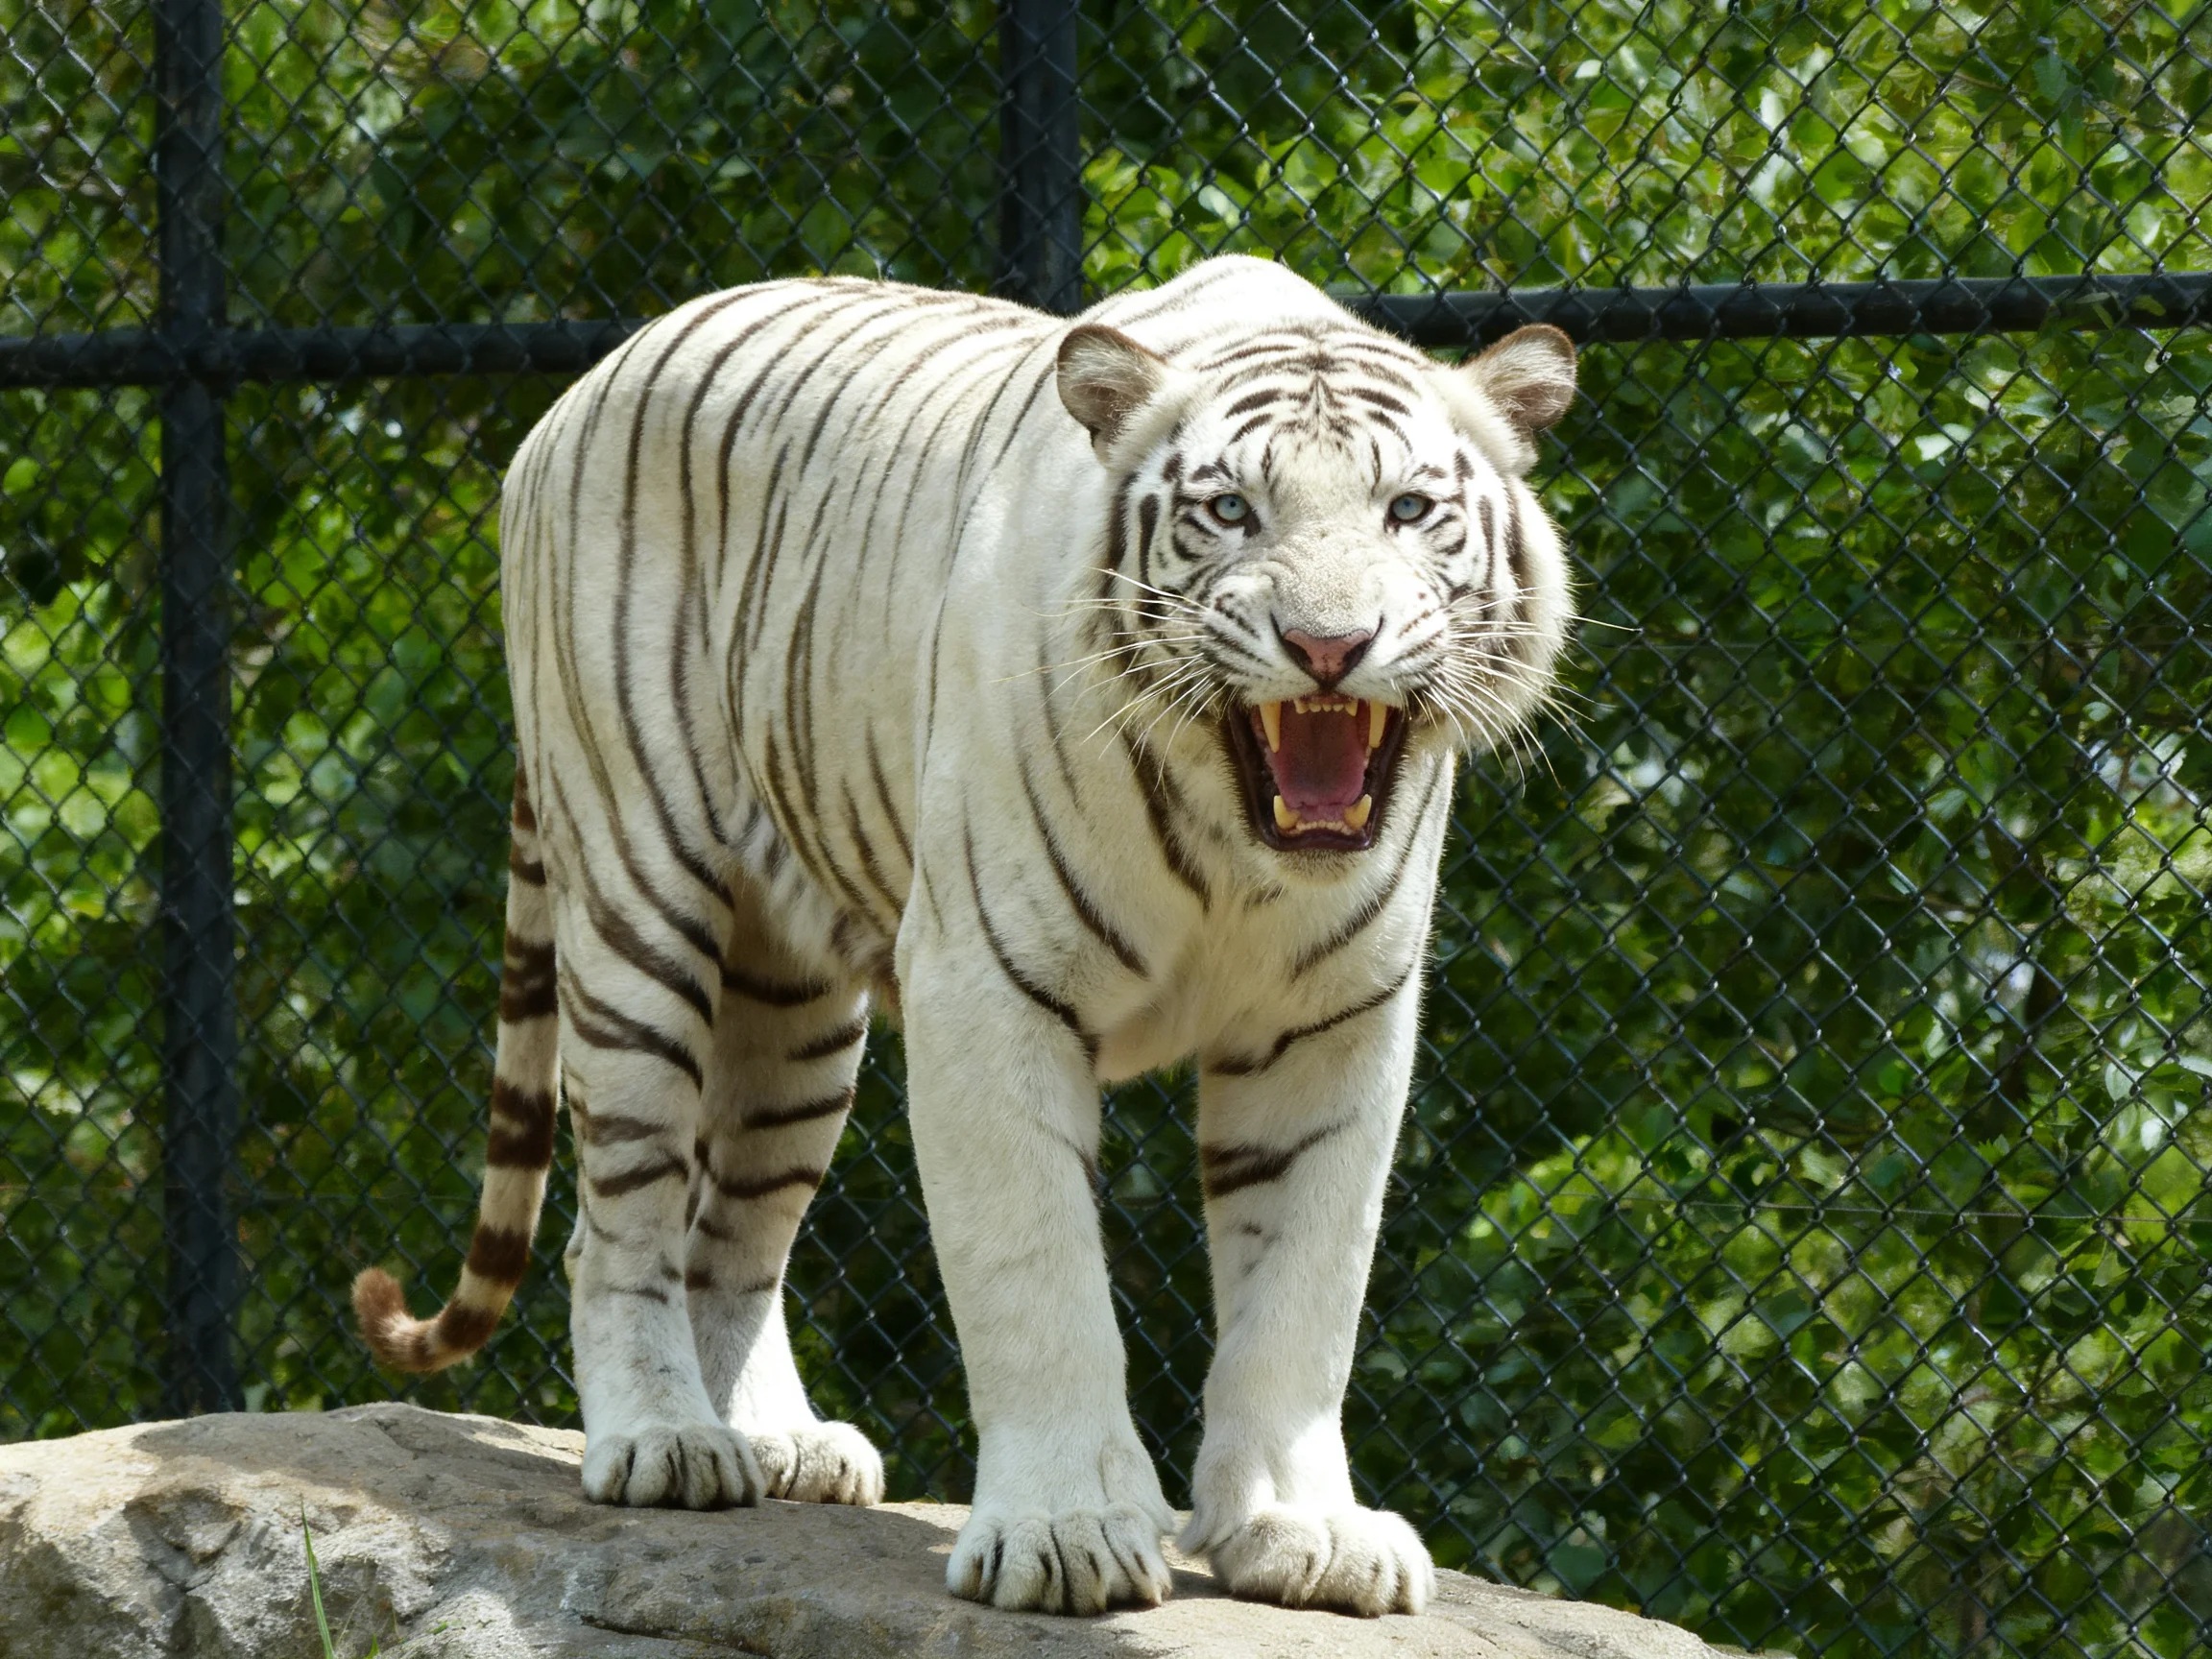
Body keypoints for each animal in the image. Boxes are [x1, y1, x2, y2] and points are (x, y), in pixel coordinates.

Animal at [352, 253, 1576, 1618]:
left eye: (1410, 510)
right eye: (1229, 511)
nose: (1328, 645)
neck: (1237, 854)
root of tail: (593, 374)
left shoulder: (1335, 1022)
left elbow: (1306, 1290)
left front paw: (1299, 1529)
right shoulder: (988, 985)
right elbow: (1036, 1275)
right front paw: (1066, 1534)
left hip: (797, 1016)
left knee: (734, 1230)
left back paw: (778, 1443)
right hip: (636, 902)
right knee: (619, 1216)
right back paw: (666, 1441)